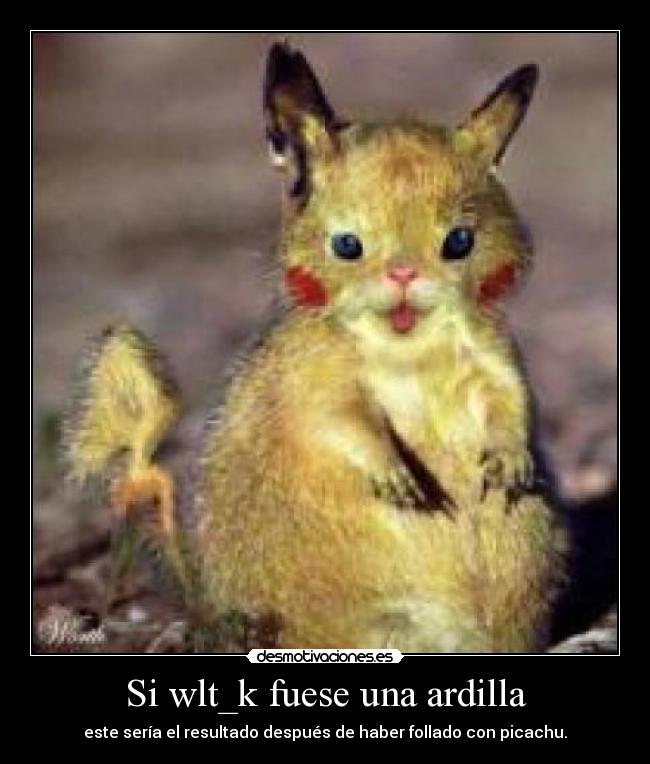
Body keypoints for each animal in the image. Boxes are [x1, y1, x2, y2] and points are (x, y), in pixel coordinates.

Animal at [63, 43, 567, 652]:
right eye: (345, 244)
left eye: (460, 241)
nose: (404, 274)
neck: (405, 340)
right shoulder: (315, 381)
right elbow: (343, 419)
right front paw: (396, 478)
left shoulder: (492, 358)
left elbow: (510, 402)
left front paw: (510, 460)